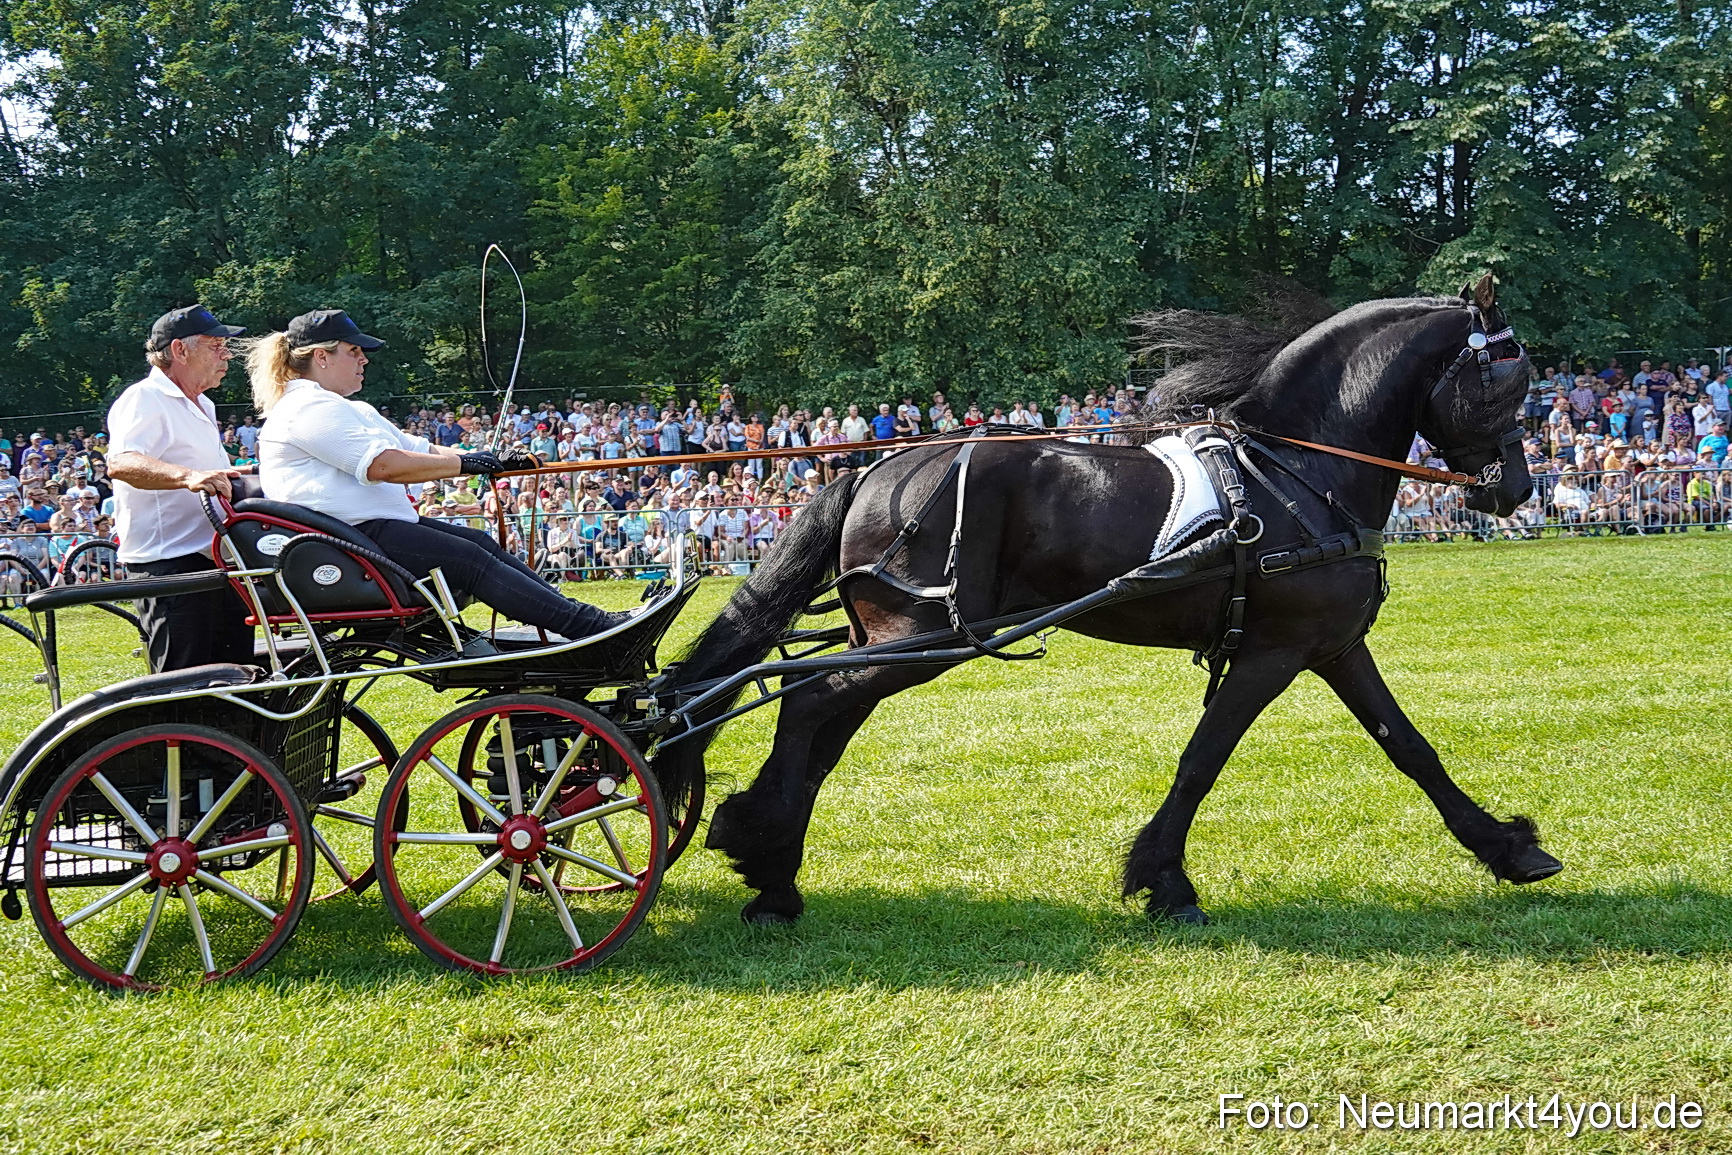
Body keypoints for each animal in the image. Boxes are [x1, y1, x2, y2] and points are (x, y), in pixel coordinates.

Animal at [654, 276, 1564, 925]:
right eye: (1510, 378)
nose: (1519, 488)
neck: (1298, 470)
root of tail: (875, 468)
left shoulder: (1332, 645)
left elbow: (1410, 746)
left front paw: (1510, 848)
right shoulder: (1271, 653)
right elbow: (1203, 759)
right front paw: (1166, 881)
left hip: (889, 637)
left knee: (819, 720)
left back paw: (770, 867)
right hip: (919, 636)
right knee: (809, 702)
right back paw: (764, 859)